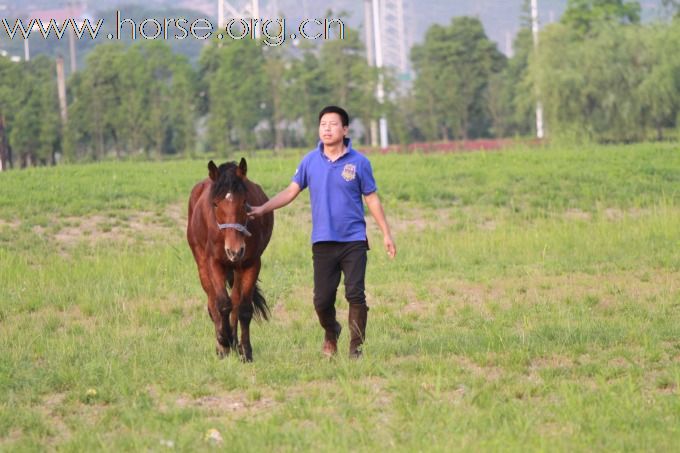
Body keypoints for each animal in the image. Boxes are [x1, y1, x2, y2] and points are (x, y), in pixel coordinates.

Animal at [186, 159, 274, 360]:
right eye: (215, 204)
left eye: (244, 202)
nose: (234, 250)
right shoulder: (214, 263)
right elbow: (222, 304)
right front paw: (224, 340)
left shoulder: (251, 263)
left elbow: (243, 308)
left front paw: (245, 350)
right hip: (202, 264)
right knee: (212, 301)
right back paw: (222, 345)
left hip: (237, 268)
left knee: (234, 300)